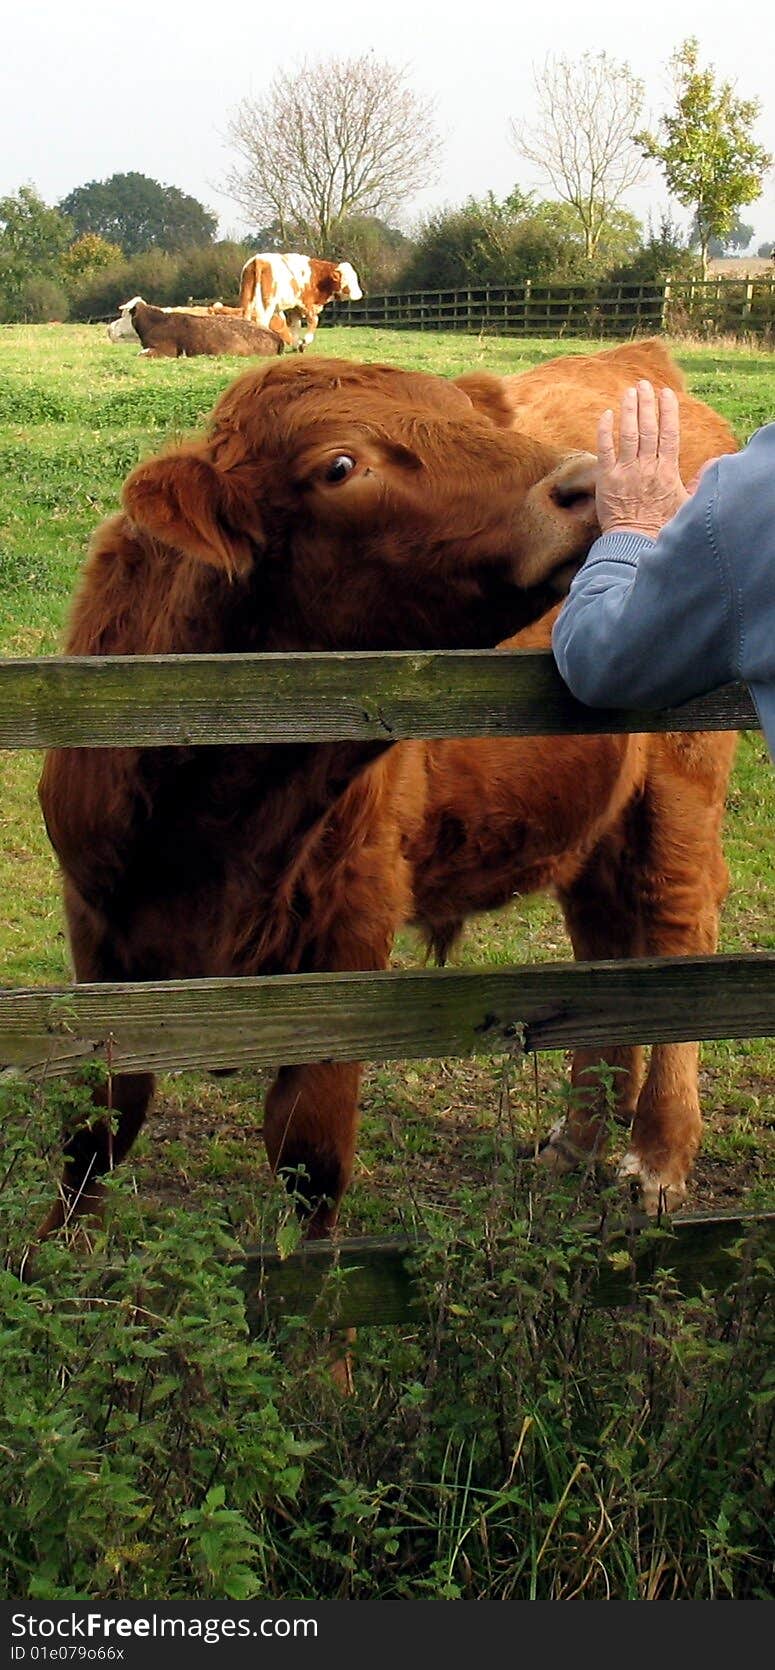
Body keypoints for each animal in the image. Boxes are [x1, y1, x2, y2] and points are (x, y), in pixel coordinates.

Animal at [36, 335, 734, 1242]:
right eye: (339, 464)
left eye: (470, 419)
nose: (587, 483)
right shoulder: (96, 932)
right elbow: (98, 1126)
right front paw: (53, 1252)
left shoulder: (353, 932)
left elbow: (309, 1154)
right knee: (607, 950)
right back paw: (579, 1138)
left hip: (682, 784)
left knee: (679, 932)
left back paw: (655, 1156)